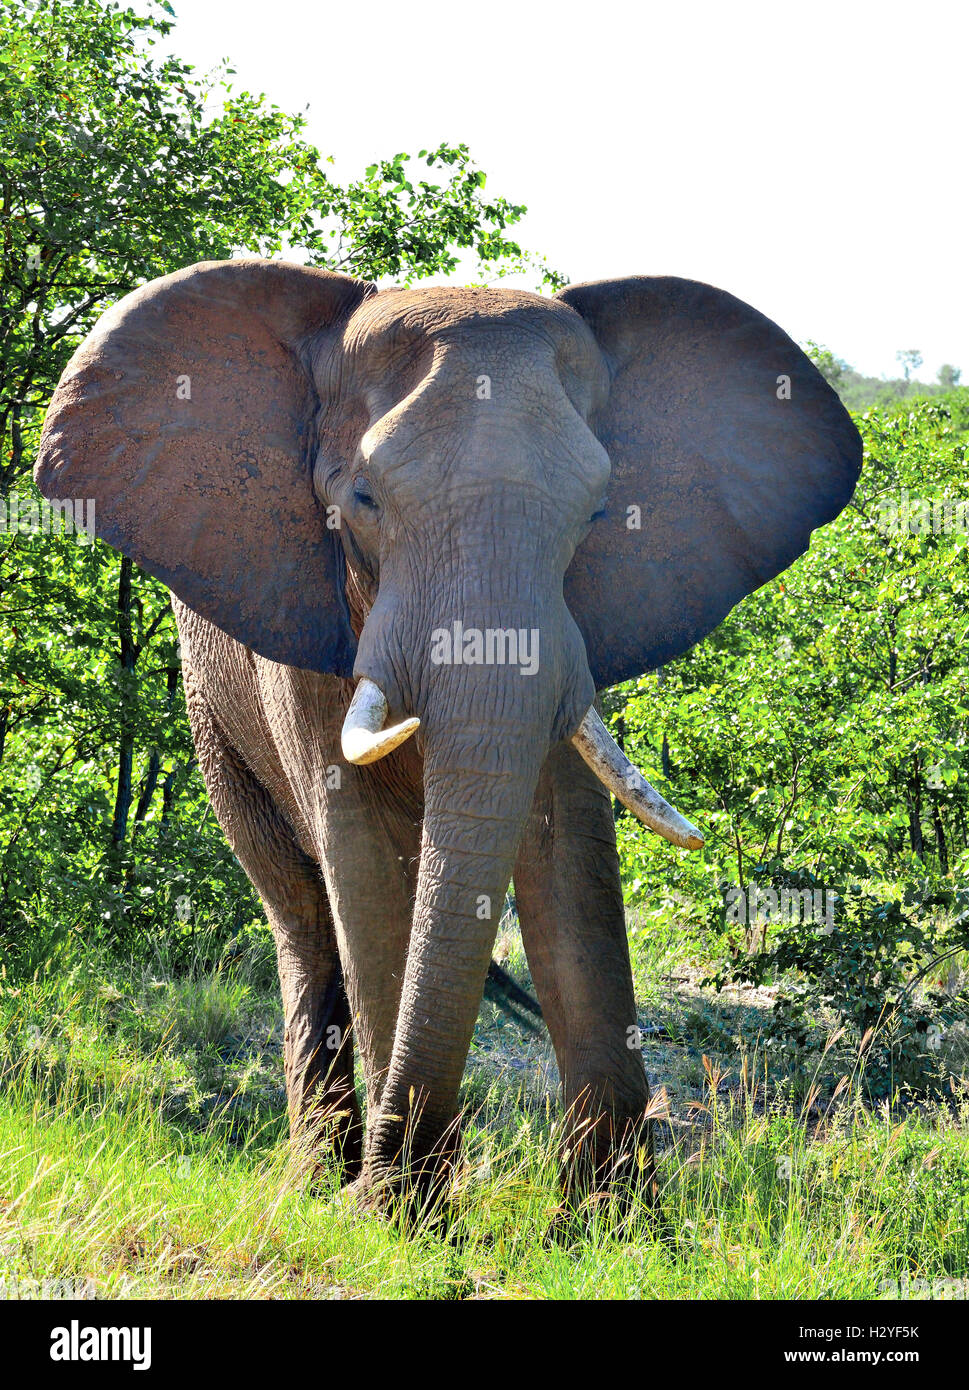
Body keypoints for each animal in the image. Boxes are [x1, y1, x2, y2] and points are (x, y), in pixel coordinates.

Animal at [35, 260, 862, 1214]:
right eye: (361, 501)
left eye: (599, 514)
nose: (395, 1177)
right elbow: (364, 854)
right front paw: (398, 1214)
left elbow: (565, 846)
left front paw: (612, 1221)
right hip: (212, 712)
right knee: (299, 912)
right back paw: (318, 1181)